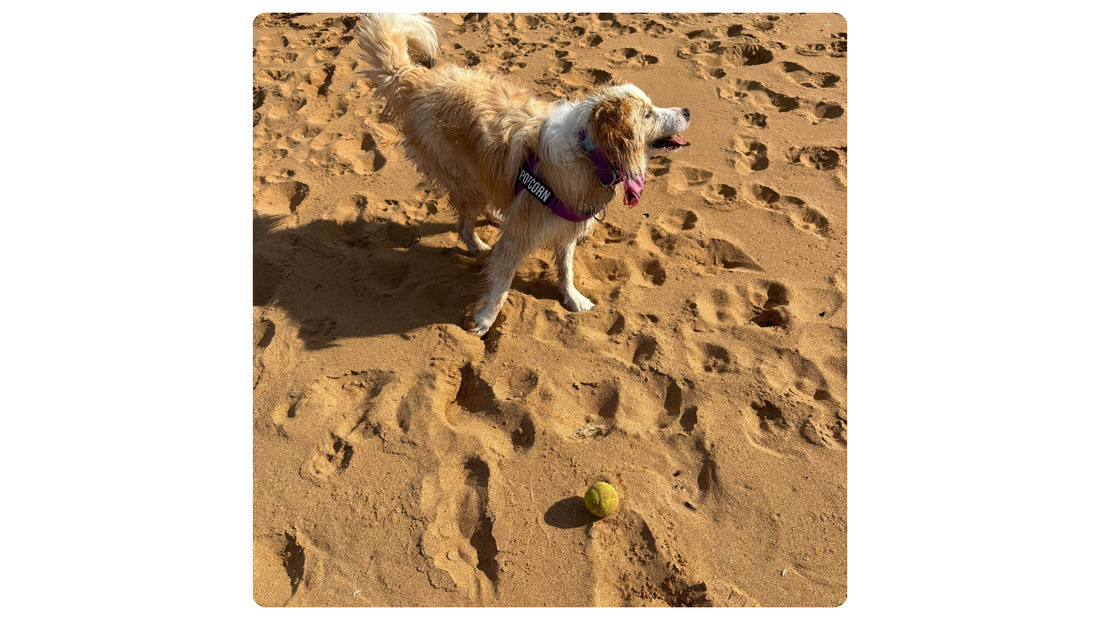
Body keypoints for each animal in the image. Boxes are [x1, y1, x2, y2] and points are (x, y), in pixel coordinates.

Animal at [356, 13, 690, 334]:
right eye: (647, 114)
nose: (687, 111)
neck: (588, 153)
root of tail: (419, 79)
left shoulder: (567, 223)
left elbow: (565, 267)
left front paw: (572, 297)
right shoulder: (521, 234)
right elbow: (503, 280)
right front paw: (485, 318)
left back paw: (497, 216)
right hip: (463, 180)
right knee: (464, 225)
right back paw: (479, 247)